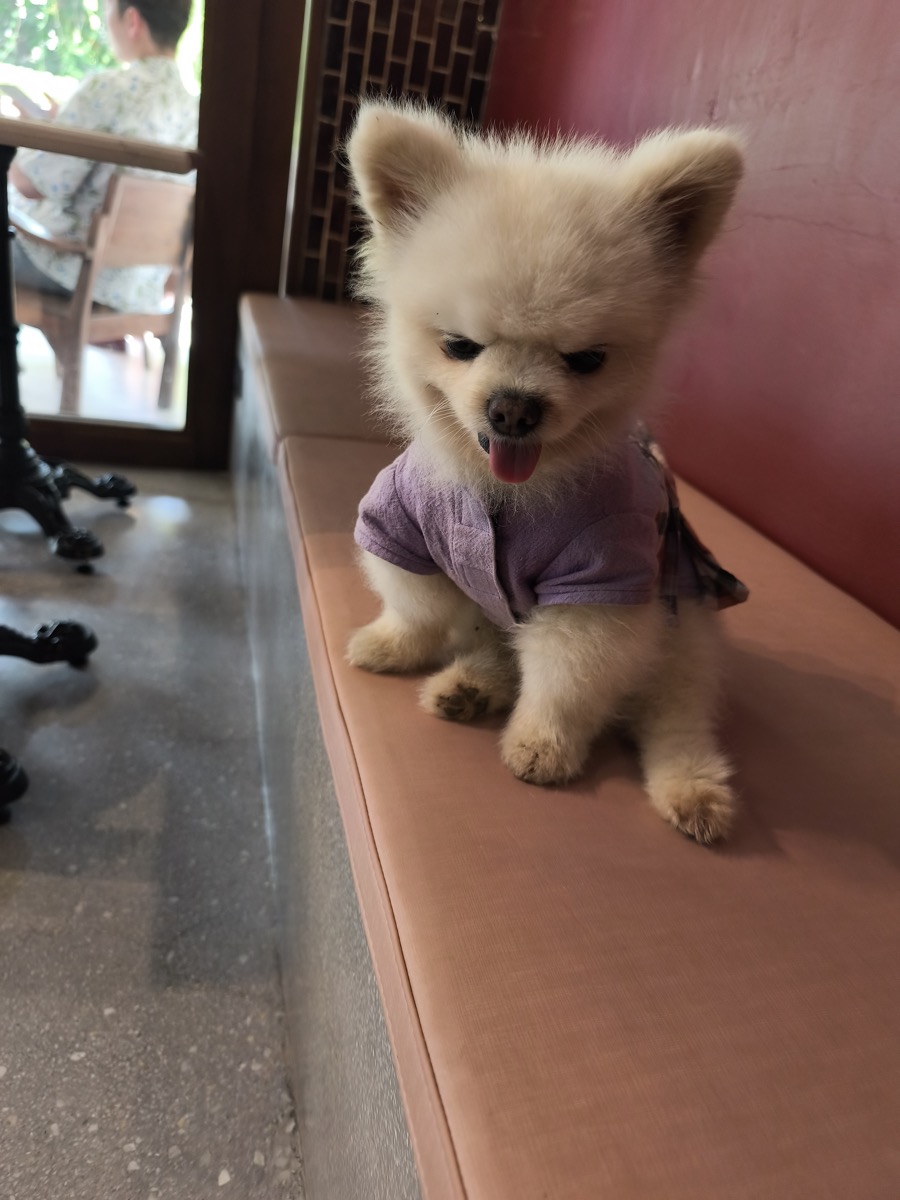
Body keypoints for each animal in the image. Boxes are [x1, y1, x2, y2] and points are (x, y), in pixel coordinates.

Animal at [344, 99, 747, 844]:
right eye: (460, 346)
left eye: (586, 359)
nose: (513, 408)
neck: (504, 496)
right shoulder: (401, 525)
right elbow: (414, 606)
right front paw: (393, 644)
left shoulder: (597, 583)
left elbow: (564, 680)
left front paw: (543, 744)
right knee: (498, 649)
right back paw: (470, 686)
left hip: (679, 643)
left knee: (673, 716)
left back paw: (694, 789)